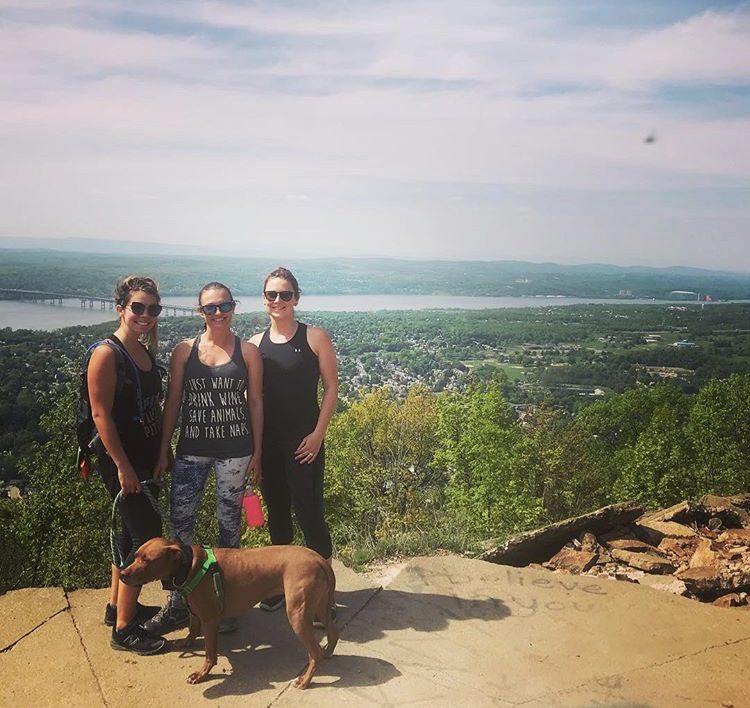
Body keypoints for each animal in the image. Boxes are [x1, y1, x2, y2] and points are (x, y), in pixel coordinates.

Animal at [121, 540, 340, 688]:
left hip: (298, 615)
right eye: (136, 555)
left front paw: (201, 674)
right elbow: (192, 629)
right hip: (319, 605)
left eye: (147, 560)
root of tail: (318, 558)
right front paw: (187, 642)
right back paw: (328, 652)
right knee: (333, 633)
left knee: (314, 653)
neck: (189, 565)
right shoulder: (196, 613)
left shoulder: (210, 620)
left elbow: (210, 654)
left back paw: (305, 680)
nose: (122, 574)